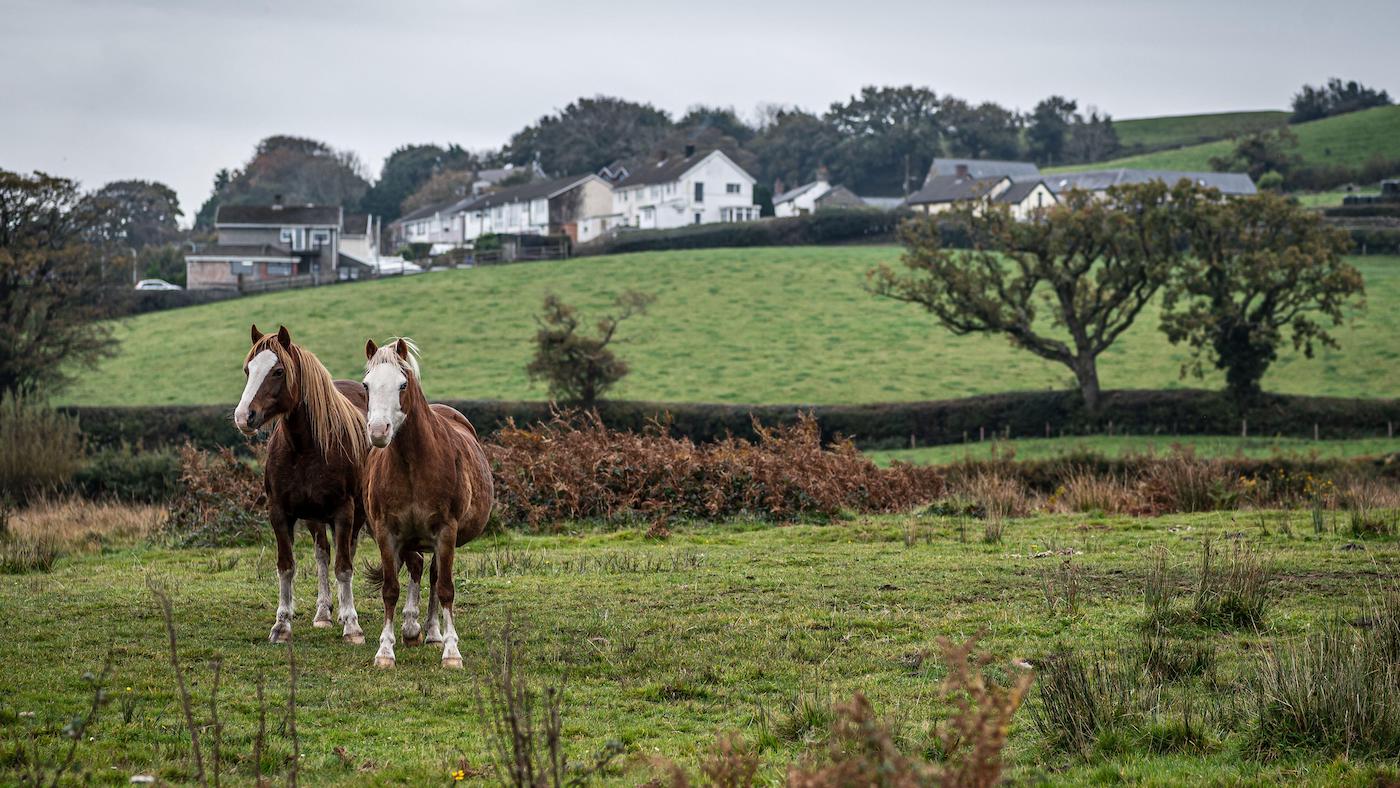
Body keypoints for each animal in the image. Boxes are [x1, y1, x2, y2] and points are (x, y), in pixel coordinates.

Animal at [234, 324, 371, 644]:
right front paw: (282, 625)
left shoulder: (344, 511)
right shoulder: (280, 513)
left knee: (347, 553)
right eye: (248, 370)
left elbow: (344, 567)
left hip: (355, 514)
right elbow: (287, 566)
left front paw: (352, 626)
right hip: (314, 517)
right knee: (323, 554)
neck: (304, 447)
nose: (243, 417)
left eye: (278, 371)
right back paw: (323, 613)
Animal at [361, 338, 493, 668]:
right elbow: (390, 589)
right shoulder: (387, 532)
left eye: (403, 384)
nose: (378, 431)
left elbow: (445, 589)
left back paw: (433, 633)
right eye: (367, 385)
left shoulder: (446, 531)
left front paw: (451, 652)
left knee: (433, 577)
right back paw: (411, 629)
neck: (413, 464)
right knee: (417, 567)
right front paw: (385, 651)